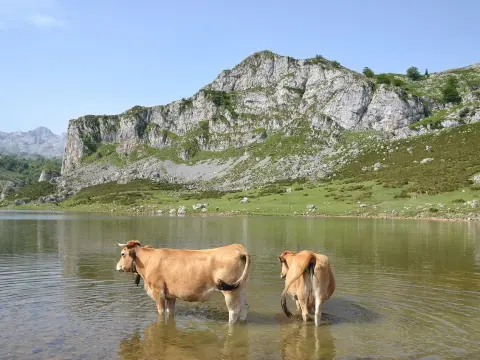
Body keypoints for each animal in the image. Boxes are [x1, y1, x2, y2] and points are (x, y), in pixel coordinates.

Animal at [116, 240, 251, 324]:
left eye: (122, 254)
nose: (117, 267)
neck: (148, 261)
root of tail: (236, 247)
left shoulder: (158, 292)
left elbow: (161, 313)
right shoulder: (170, 295)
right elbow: (170, 313)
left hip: (229, 292)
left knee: (234, 311)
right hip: (240, 287)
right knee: (244, 307)